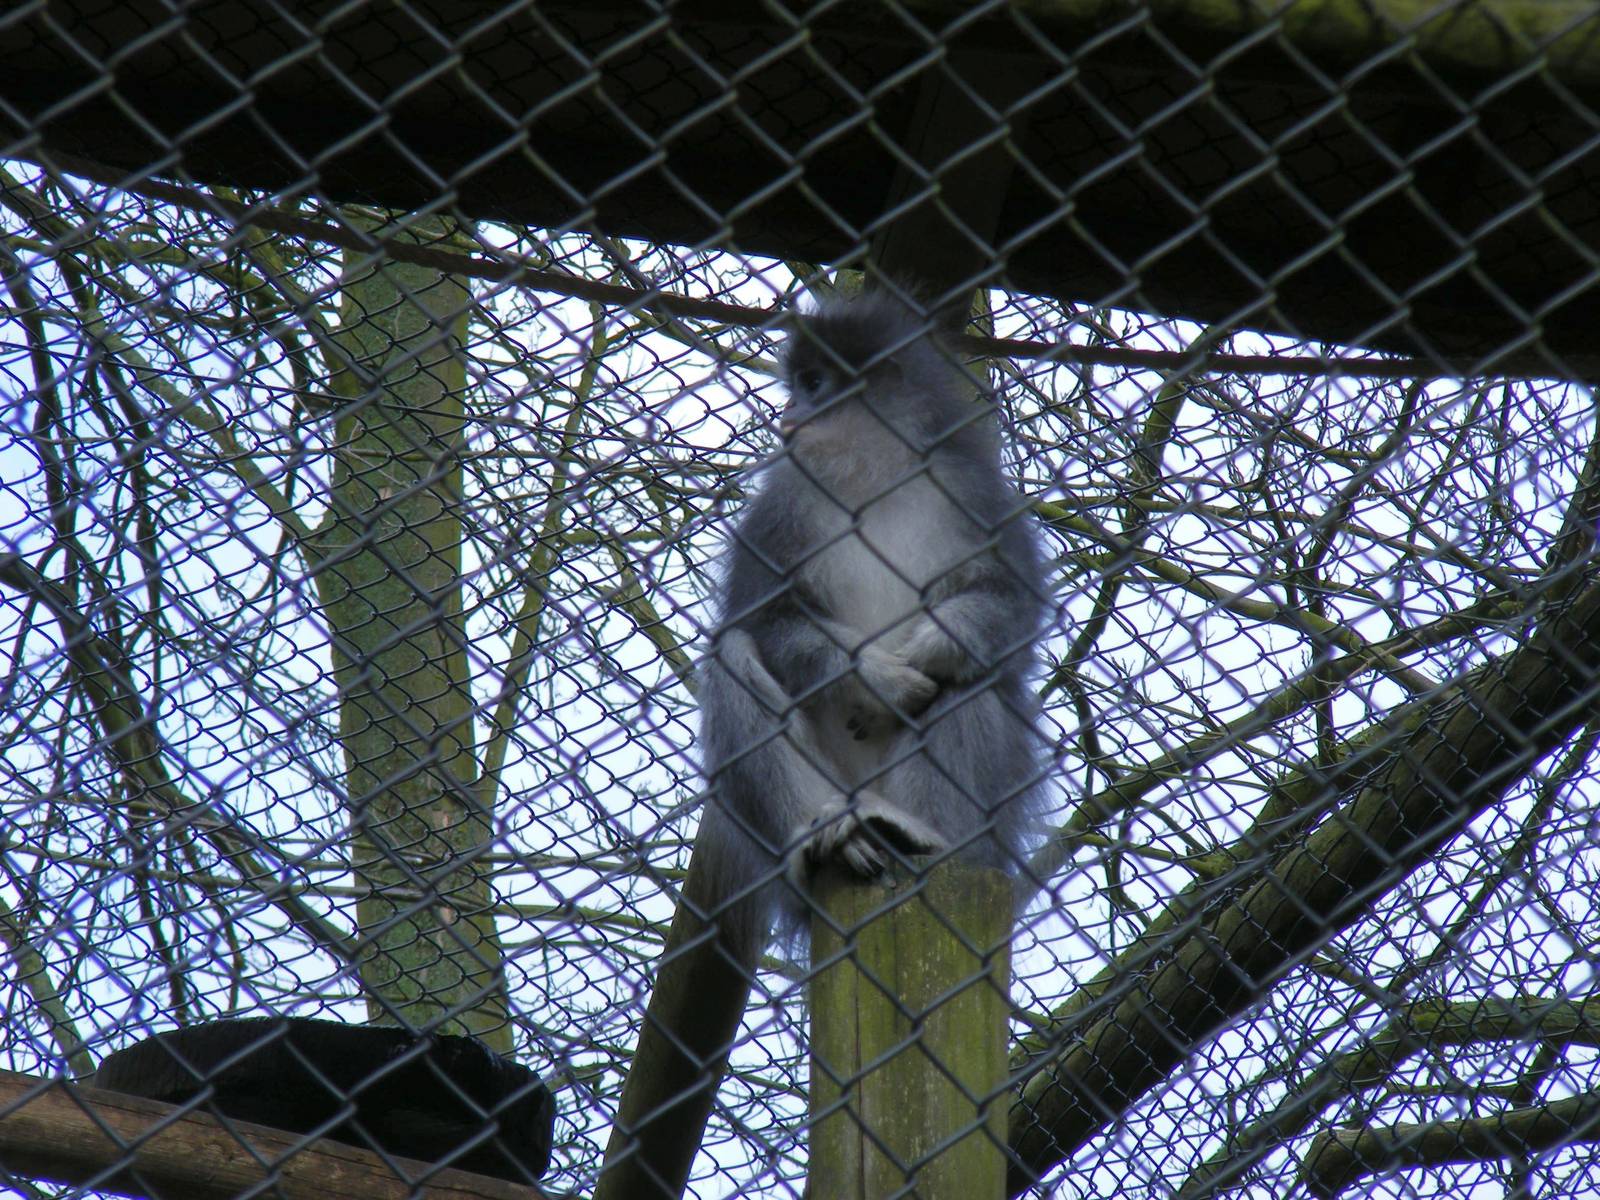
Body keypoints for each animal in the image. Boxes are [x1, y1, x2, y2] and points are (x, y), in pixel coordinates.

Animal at [693, 289, 1049, 962]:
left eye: (813, 383)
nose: (790, 412)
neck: (874, 475)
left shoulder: (974, 492)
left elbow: (1012, 606)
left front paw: (940, 640)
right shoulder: (784, 500)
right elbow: (765, 619)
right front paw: (876, 676)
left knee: (970, 681)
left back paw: (922, 834)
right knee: (733, 652)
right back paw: (822, 842)